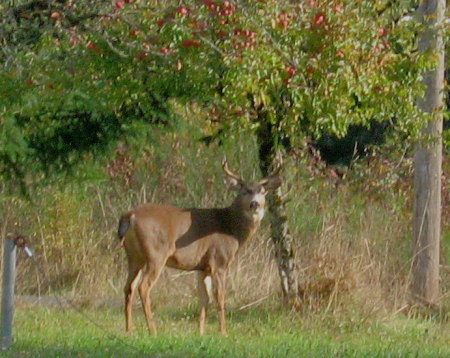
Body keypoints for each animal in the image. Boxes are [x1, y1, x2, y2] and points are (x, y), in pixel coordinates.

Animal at [118, 159, 284, 336]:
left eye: (263, 192)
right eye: (244, 191)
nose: (255, 204)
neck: (231, 229)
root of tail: (130, 215)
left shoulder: (202, 267)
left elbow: (204, 299)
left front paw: (201, 332)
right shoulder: (219, 260)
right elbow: (220, 297)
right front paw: (223, 332)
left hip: (134, 256)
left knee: (129, 287)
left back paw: (129, 330)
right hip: (156, 254)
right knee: (143, 287)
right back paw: (153, 330)